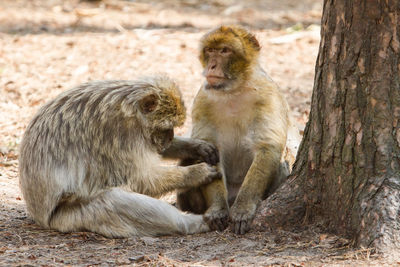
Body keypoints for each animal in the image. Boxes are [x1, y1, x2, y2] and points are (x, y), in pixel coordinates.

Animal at [18, 76, 222, 239]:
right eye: (166, 127)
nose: (170, 137)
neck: (131, 111)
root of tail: (39, 217)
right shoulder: (119, 137)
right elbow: (142, 181)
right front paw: (196, 173)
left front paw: (195, 147)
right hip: (68, 216)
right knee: (112, 201)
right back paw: (194, 223)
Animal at [177, 25, 298, 234]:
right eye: (211, 51)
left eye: (225, 50)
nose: (212, 66)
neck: (234, 90)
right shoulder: (203, 99)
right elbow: (210, 150)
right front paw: (217, 210)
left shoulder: (268, 95)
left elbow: (268, 147)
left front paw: (243, 209)